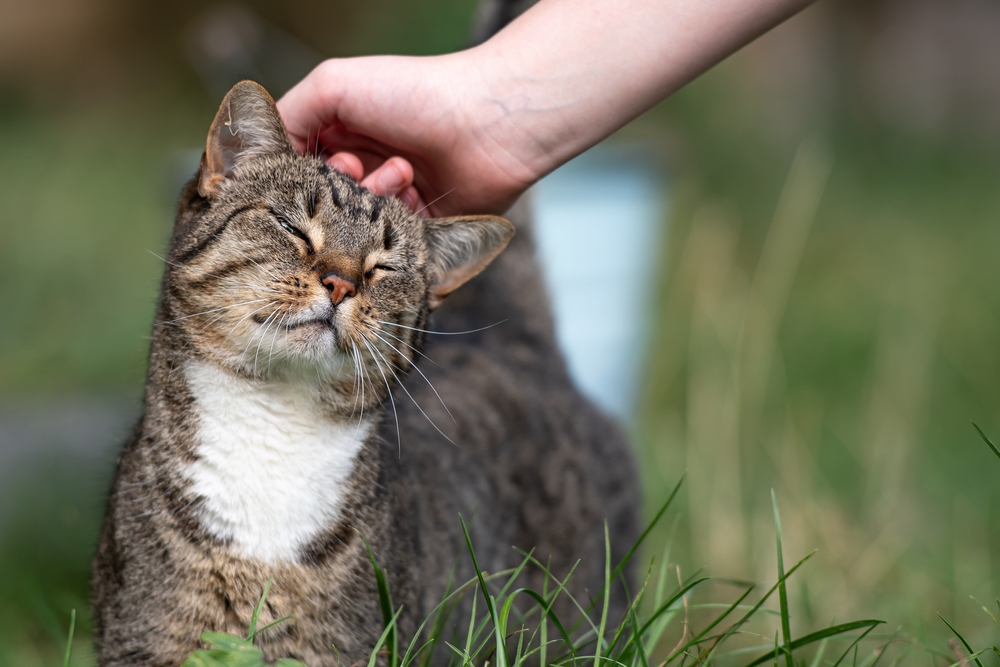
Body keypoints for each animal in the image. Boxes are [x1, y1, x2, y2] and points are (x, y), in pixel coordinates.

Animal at [92, 82, 640, 667]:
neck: (274, 427)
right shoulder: (144, 642)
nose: (340, 283)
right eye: (292, 227)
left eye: (384, 267)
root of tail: (519, 343)